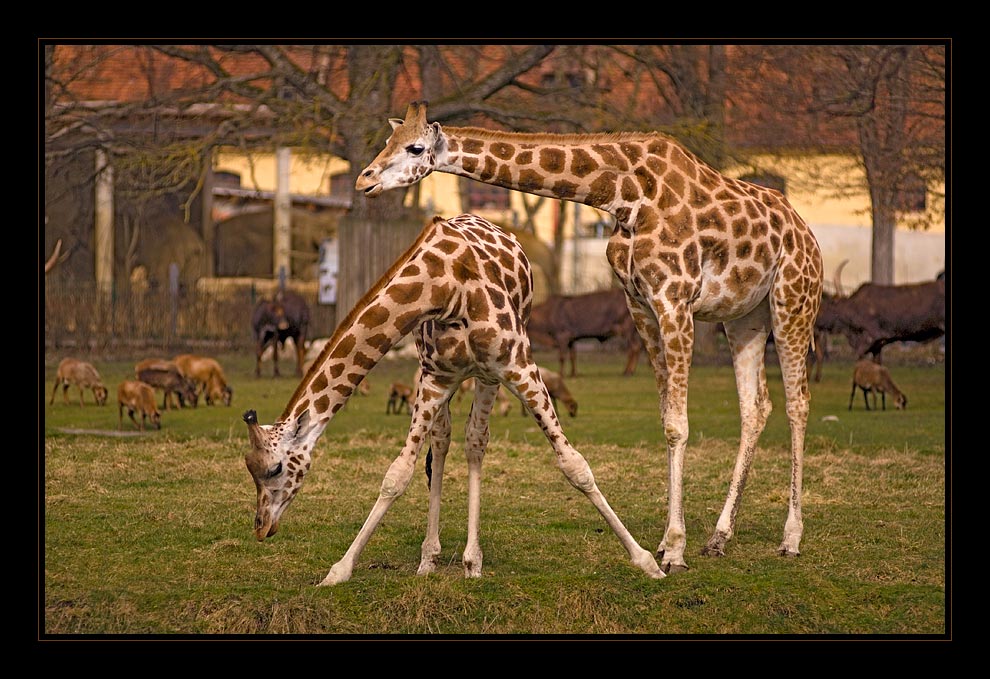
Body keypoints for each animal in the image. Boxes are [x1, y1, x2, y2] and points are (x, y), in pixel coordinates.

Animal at [244, 215, 672, 588]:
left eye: (275, 468)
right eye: (250, 469)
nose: (262, 527)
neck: (441, 286)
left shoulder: (516, 365)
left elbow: (575, 465)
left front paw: (648, 562)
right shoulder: (436, 378)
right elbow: (398, 474)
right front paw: (339, 571)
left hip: (487, 377)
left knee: (476, 442)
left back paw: (472, 561)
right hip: (440, 376)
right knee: (445, 442)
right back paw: (430, 559)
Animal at [358, 99, 828, 572]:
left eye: (415, 148)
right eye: (388, 140)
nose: (365, 179)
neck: (624, 195)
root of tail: (807, 233)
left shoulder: (675, 299)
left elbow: (678, 424)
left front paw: (675, 549)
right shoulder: (641, 304)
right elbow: (667, 419)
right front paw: (666, 544)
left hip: (793, 301)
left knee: (798, 403)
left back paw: (791, 537)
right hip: (745, 317)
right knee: (756, 407)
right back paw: (719, 537)